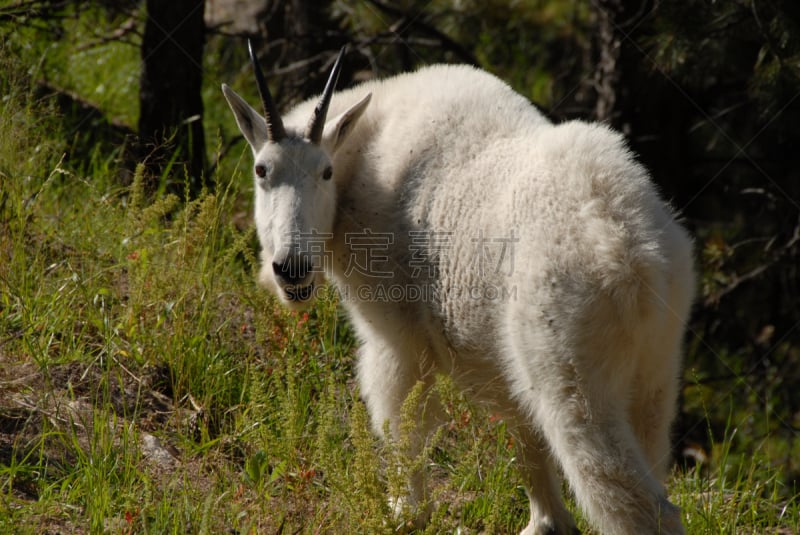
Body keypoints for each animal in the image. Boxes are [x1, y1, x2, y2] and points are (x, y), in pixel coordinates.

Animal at [223, 43, 692, 535]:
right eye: (262, 170)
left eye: (325, 172)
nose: (291, 269)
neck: (362, 155)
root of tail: (633, 255)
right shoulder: (495, 353)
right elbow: (523, 433)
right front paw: (543, 521)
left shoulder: (398, 335)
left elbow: (402, 417)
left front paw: (404, 510)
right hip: (656, 365)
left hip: (572, 366)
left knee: (631, 498)